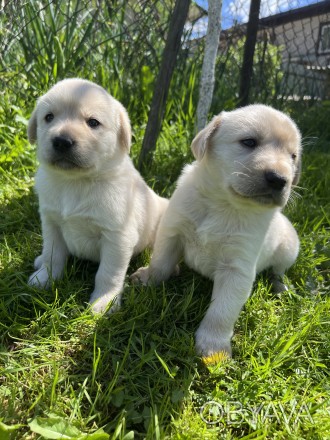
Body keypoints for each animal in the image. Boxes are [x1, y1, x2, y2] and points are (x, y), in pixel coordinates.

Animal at [27, 79, 168, 312]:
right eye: (49, 117)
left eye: (93, 122)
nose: (62, 141)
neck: (75, 182)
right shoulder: (51, 224)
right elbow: (53, 255)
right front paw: (44, 278)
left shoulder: (117, 237)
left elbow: (108, 273)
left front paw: (104, 301)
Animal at [132, 104, 302, 360]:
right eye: (249, 142)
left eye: (293, 157)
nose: (280, 179)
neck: (224, 205)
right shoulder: (172, 232)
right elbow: (160, 262)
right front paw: (148, 278)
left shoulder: (237, 269)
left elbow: (222, 311)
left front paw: (214, 348)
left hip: (289, 249)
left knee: (278, 271)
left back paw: (280, 286)